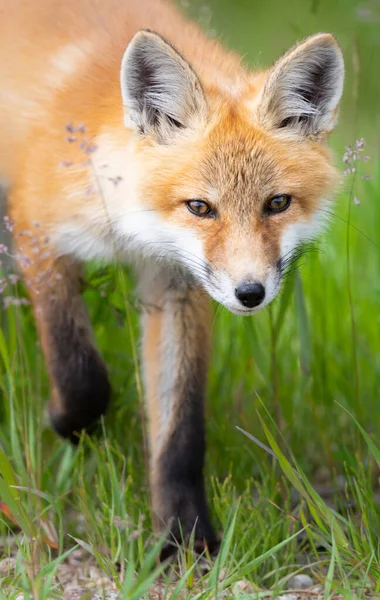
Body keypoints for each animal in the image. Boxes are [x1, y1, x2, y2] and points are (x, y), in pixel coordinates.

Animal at [0, 0, 344, 556]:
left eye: (277, 203)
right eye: (200, 207)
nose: (250, 293)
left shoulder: (177, 284)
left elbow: (179, 431)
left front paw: (184, 537)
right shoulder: (35, 229)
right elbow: (81, 375)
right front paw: (66, 425)